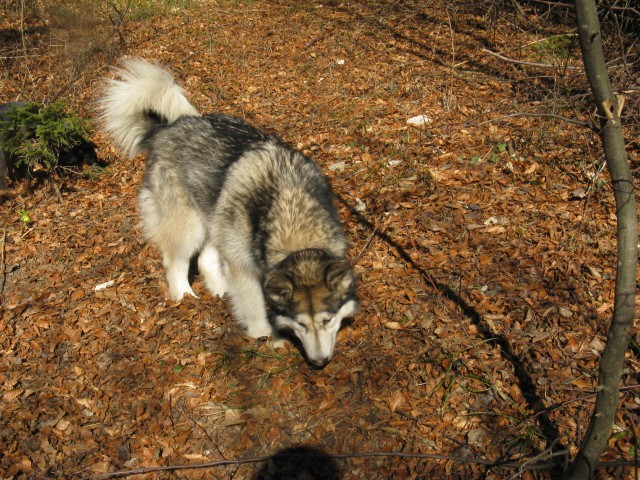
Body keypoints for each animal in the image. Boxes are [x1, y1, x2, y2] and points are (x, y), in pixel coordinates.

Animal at [102, 58, 358, 366]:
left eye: (327, 320)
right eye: (301, 323)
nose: (320, 362)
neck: (289, 209)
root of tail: (168, 128)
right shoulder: (243, 265)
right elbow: (255, 304)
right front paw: (264, 335)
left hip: (218, 221)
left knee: (205, 260)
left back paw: (220, 290)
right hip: (192, 227)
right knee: (174, 261)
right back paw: (185, 296)